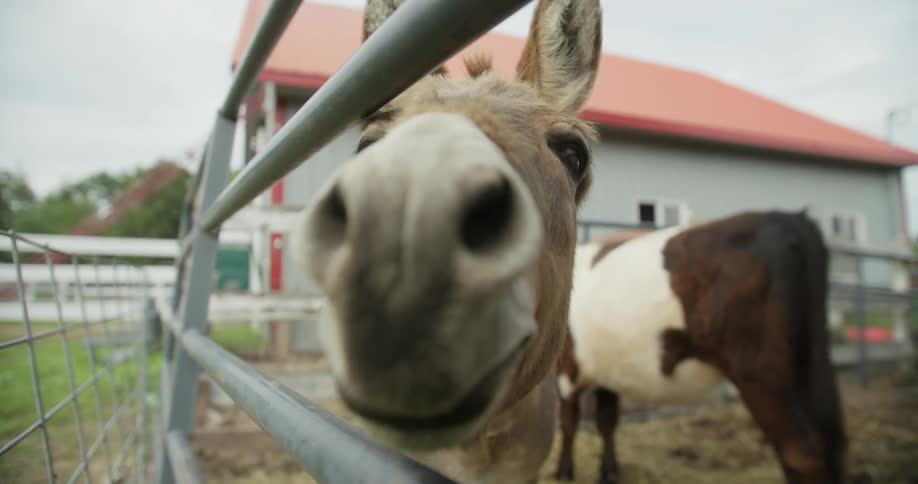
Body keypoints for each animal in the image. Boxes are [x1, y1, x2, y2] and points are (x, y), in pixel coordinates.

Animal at [555, 211, 846, 484]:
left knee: (801, 454)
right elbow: (606, 422)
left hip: (761, 372)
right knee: (829, 442)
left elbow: (569, 422)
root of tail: (785, 218)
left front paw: (563, 471)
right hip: (807, 366)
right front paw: (609, 472)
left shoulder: (567, 367)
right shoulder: (608, 371)